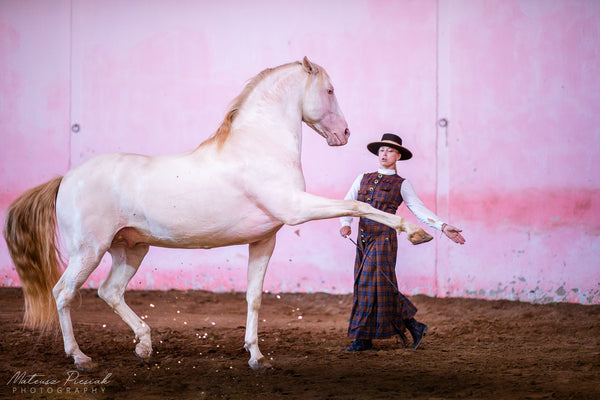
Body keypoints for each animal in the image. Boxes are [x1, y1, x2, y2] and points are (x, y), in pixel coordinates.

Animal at [3, 57, 432, 372]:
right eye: (329, 90)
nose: (344, 134)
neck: (259, 145)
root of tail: (65, 178)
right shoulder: (297, 208)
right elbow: (360, 205)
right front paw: (416, 232)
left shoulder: (265, 239)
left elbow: (254, 297)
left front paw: (257, 357)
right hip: (88, 251)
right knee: (63, 293)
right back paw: (80, 358)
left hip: (131, 249)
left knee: (109, 291)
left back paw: (144, 347)